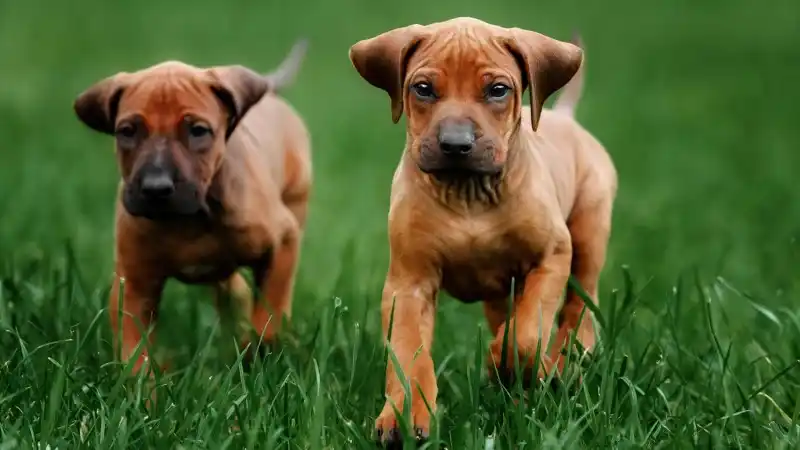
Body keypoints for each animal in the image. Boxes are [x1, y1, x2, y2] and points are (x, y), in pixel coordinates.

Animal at [73, 40, 312, 374]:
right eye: (127, 131)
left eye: (198, 130)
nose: (156, 188)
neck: (189, 220)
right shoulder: (133, 285)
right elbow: (135, 351)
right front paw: (142, 387)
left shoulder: (283, 242)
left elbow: (270, 314)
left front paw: (260, 354)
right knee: (232, 290)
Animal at [350, 16, 620, 442]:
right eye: (423, 89)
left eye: (497, 90)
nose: (455, 145)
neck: (469, 195)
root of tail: (565, 116)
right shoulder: (409, 283)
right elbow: (408, 354)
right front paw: (404, 416)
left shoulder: (552, 256)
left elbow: (526, 333)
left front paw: (501, 361)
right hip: (500, 288)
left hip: (587, 234)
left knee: (578, 307)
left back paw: (560, 367)